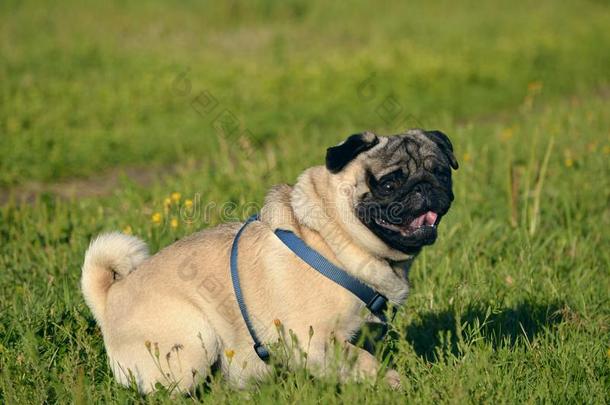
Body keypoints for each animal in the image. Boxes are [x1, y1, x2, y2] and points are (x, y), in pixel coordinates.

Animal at [81, 129, 456, 392]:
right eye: (389, 183)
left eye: (441, 172)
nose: (424, 185)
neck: (332, 238)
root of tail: (110, 298)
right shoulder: (314, 341)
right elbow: (363, 362)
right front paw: (394, 382)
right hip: (194, 338)